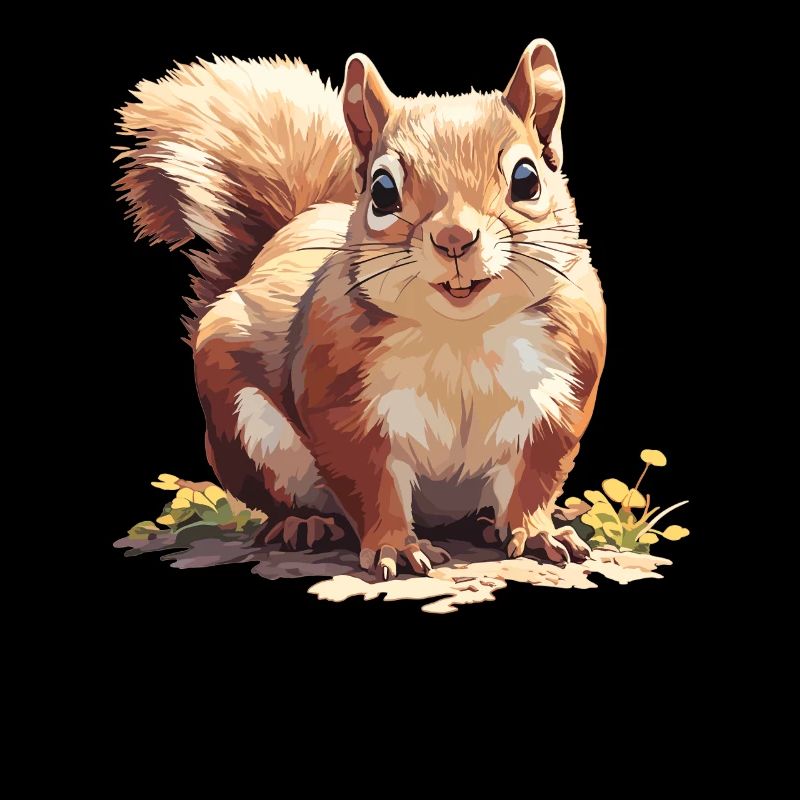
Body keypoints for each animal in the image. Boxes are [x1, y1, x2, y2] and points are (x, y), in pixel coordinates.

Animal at [116, 39, 606, 579]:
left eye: (527, 179)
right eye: (382, 190)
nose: (454, 238)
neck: (462, 333)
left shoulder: (560, 398)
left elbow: (533, 481)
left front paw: (539, 534)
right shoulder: (343, 403)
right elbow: (372, 485)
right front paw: (396, 547)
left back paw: (482, 523)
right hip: (246, 432)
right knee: (279, 498)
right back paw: (302, 523)